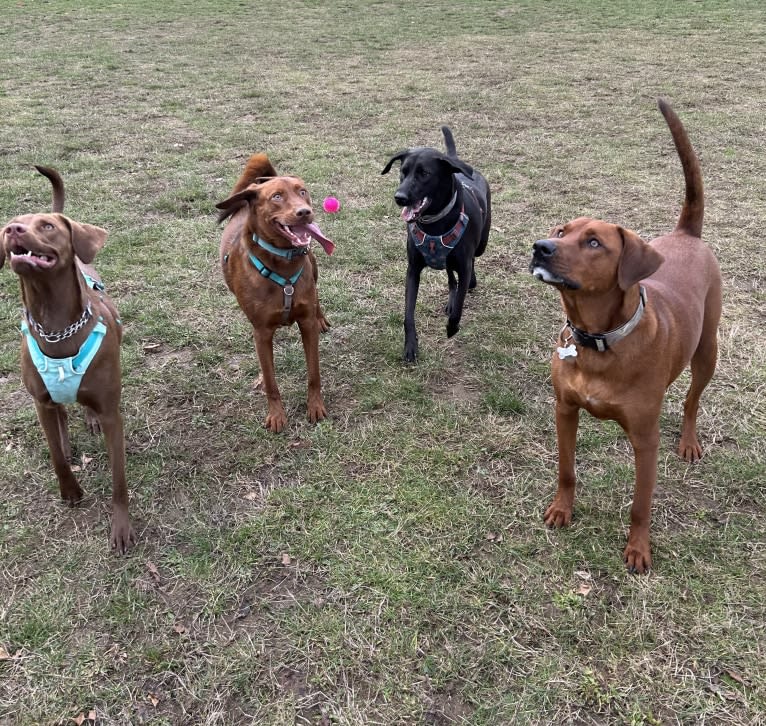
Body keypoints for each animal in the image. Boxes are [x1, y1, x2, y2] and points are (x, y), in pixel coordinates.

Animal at [0, 168, 134, 556]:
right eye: (9, 225)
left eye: (47, 226)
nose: (13, 230)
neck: (57, 324)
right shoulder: (40, 402)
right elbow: (56, 456)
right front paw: (70, 490)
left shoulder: (112, 412)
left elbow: (119, 479)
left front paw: (122, 528)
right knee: (60, 419)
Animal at [218, 154, 334, 436]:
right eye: (277, 197)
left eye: (303, 192)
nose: (304, 212)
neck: (283, 265)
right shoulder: (261, 332)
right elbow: (271, 381)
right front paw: (277, 415)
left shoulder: (306, 323)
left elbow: (314, 372)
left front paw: (315, 407)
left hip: (314, 269)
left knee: (317, 296)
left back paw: (322, 317)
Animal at [382, 128, 492, 364]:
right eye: (403, 172)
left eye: (424, 174)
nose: (399, 197)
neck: (434, 223)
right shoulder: (413, 270)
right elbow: (408, 314)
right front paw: (411, 346)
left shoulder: (464, 265)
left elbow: (460, 305)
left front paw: (452, 327)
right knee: (451, 278)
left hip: (481, 244)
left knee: (470, 265)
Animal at [532, 99, 724, 576]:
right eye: (561, 231)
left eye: (594, 243)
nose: (540, 246)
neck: (599, 339)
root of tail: (685, 234)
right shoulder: (564, 409)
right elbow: (566, 469)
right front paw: (562, 510)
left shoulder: (645, 439)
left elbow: (641, 504)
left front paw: (638, 549)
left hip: (707, 350)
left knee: (692, 399)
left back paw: (689, 441)